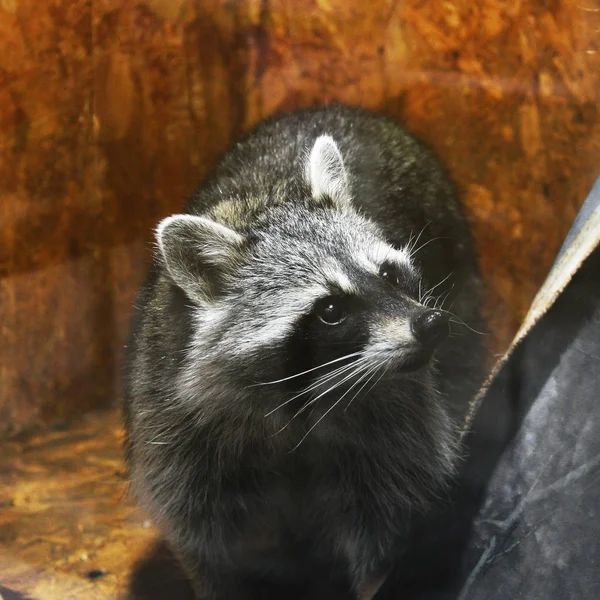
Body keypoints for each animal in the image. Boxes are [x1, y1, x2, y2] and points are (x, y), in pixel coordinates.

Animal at [124, 105, 486, 596]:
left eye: (389, 275)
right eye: (331, 309)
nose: (431, 324)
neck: (297, 401)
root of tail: (335, 106)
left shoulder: (395, 417)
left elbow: (384, 522)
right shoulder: (174, 424)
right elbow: (203, 539)